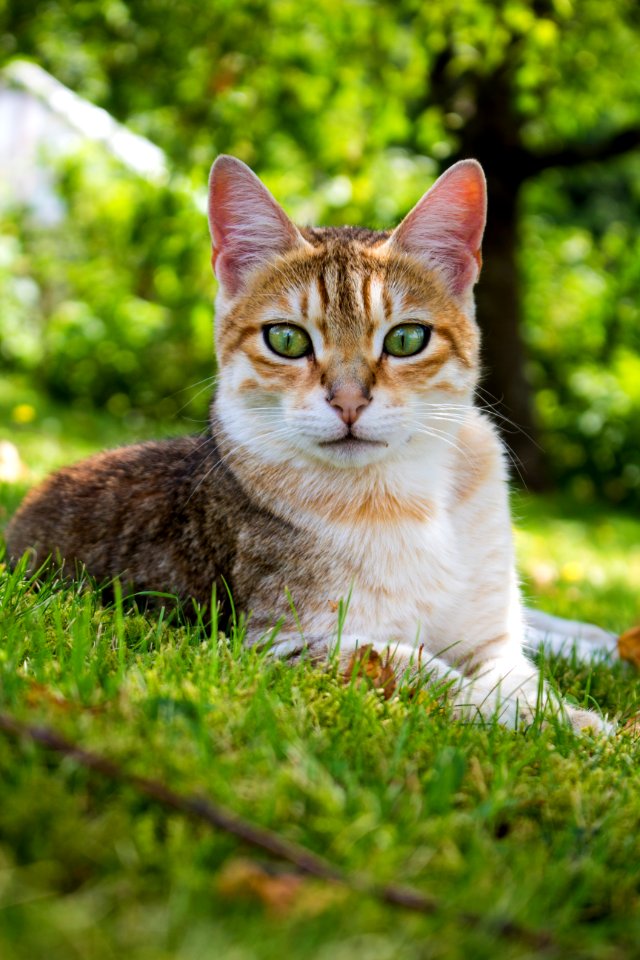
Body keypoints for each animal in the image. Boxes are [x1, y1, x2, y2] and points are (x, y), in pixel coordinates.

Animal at [5, 154, 616, 732]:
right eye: (286, 339)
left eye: (406, 338)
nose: (348, 402)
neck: (408, 499)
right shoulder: (281, 642)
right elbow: (427, 671)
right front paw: (571, 728)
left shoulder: (492, 636)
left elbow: (520, 675)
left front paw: (566, 715)